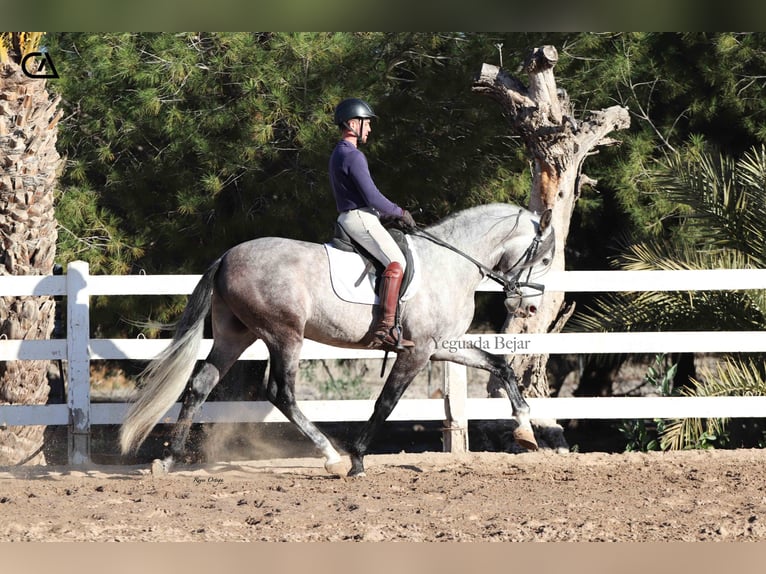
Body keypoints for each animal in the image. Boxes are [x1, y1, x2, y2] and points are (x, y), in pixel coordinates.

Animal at [120, 202, 556, 476]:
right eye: (547, 258)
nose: (530, 308)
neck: (451, 263)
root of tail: (227, 256)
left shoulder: (439, 346)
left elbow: (500, 365)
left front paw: (525, 430)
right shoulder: (417, 353)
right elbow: (385, 403)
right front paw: (358, 460)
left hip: (235, 335)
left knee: (200, 385)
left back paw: (169, 461)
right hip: (284, 336)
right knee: (281, 393)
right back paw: (331, 455)